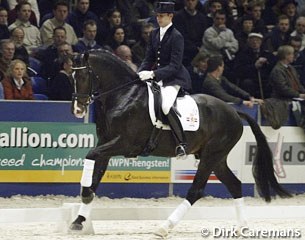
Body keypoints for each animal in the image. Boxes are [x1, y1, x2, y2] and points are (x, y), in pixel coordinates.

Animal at [69, 49, 290, 237]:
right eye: (72, 77)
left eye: (83, 77)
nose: (78, 111)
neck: (124, 96)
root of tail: (234, 111)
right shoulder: (106, 142)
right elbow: (95, 175)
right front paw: (79, 220)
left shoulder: (125, 143)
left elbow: (90, 155)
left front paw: (85, 194)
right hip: (217, 158)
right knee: (234, 185)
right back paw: (242, 227)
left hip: (211, 156)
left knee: (196, 191)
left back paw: (164, 227)